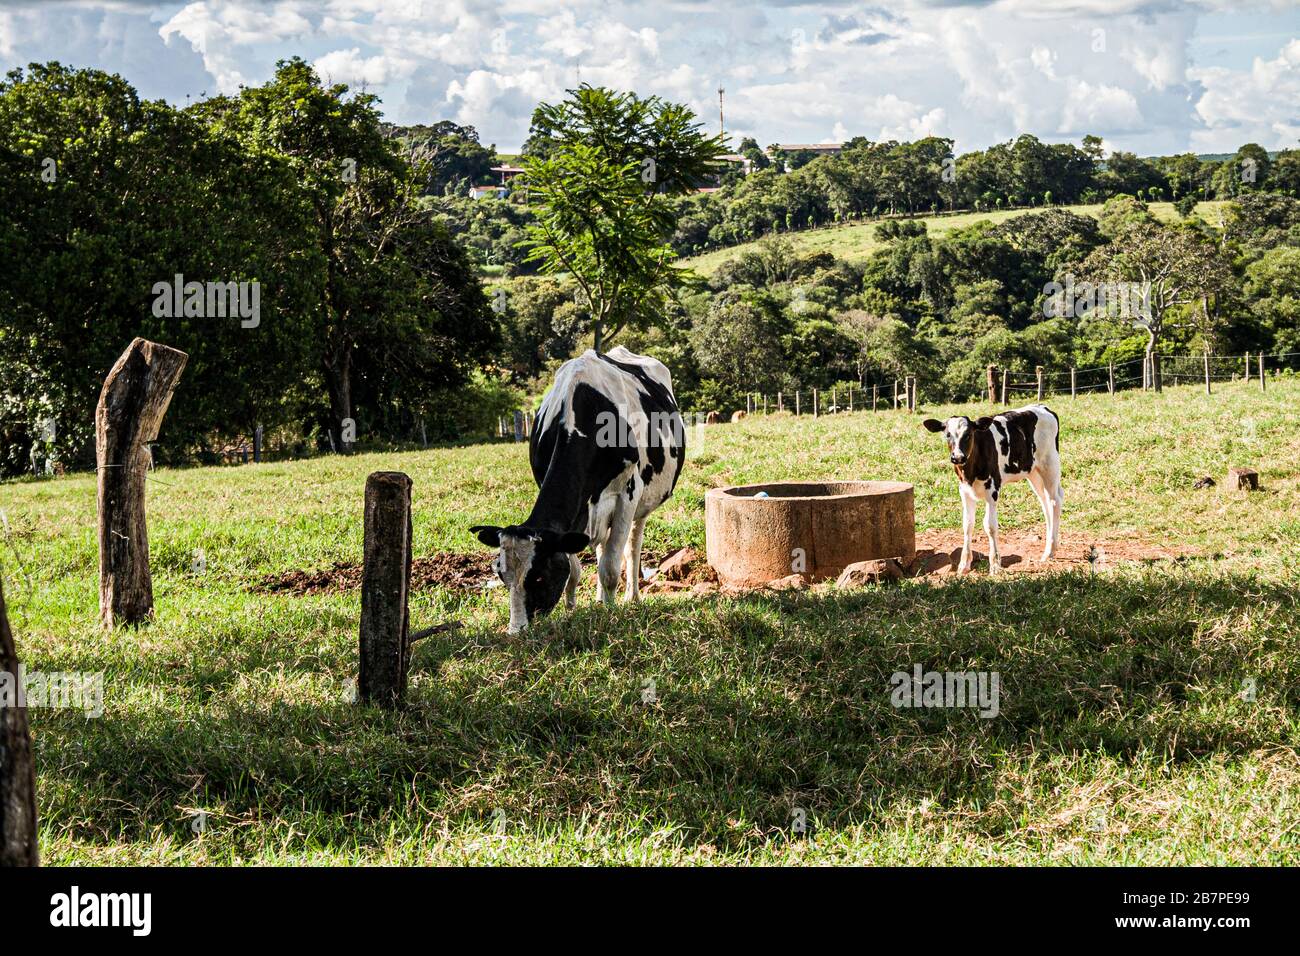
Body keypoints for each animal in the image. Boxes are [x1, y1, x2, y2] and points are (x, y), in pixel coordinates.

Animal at [470, 348, 691, 632]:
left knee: (632, 546)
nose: (516, 630)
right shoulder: (569, 518)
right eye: (501, 574)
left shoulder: (627, 496)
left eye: (539, 577)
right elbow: (574, 568)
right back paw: (599, 598)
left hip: (643, 501)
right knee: (600, 547)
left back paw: (631, 597)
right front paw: (572, 609)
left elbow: (610, 568)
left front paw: (611, 612)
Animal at [920, 403, 1060, 574]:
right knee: (1045, 503)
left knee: (1054, 502)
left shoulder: (992, 490)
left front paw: (994, 565)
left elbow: (990, 526)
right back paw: (1049, 548)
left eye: (968, 434)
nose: (958, 457)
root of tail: (1043, 407)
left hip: (1050, 465)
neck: (970, 472)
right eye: (947, 434)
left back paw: (1050, 551)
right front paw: (964, 565)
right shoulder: (964, 491)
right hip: (1033, 472)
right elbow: (967, 525)